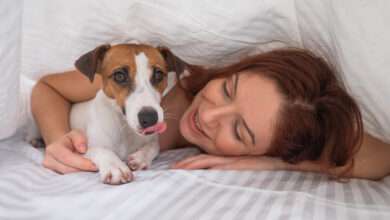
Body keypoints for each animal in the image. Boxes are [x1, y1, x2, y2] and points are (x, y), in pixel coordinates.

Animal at [68, 43, 185, 184]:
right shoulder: (83, 149)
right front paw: (115, 166)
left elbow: (154, 146)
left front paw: (141, 157)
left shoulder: (152, 139)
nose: (150, 118)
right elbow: (101, 150)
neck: (125, 130)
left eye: (158, 75)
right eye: (119, 76)